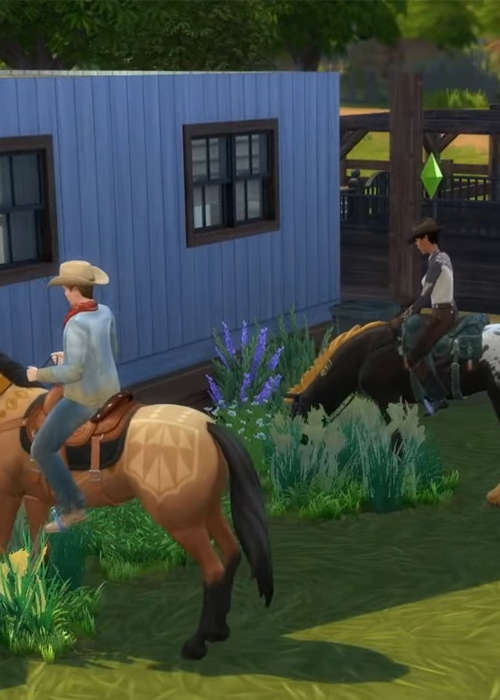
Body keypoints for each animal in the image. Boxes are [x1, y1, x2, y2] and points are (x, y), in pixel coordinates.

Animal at [0, 353, 273, 661]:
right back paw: (219, 632)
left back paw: (196, 644)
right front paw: (34, 592)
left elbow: (4, 546)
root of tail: (207, 426)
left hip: (183, 522)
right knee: (231, 554)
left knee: (213, 569)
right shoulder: (35, 498)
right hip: (208, 509)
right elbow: (36, 552)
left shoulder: (8, 495)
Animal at [283, 319, 500, 504]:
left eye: (298, 416)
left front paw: (399, 484)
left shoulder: (388, 401)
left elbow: (397, 444)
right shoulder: (398, 403)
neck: (365, 355)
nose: (296, 458)